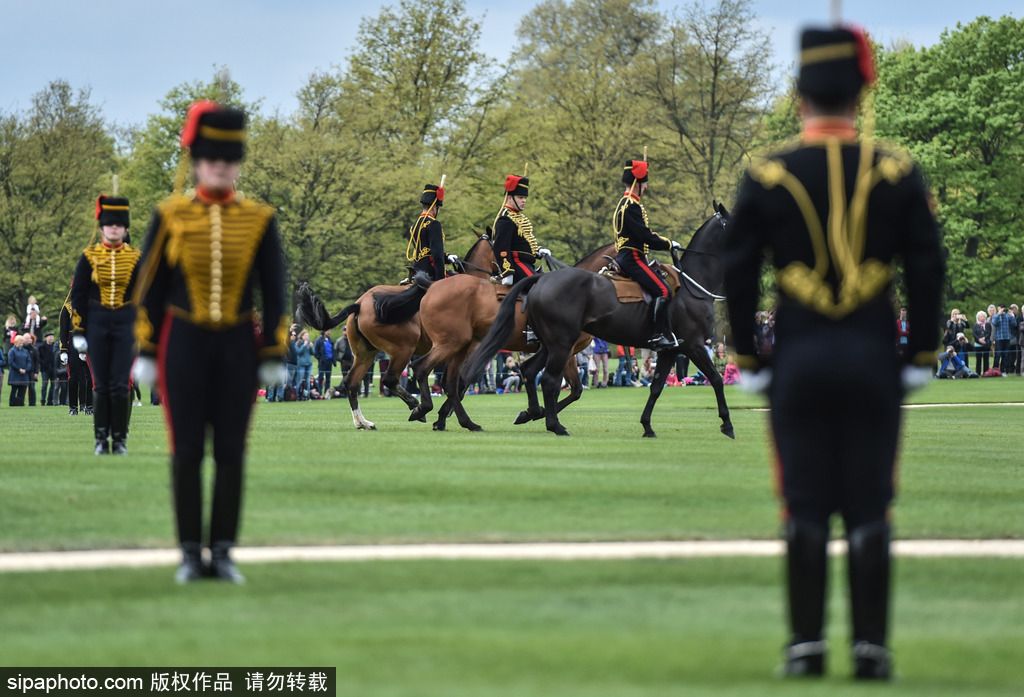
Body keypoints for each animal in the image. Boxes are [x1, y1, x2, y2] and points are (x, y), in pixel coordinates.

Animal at [294, 235, 493, 429]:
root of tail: (360, 304)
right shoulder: (464, 349)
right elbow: (459, 383)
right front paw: (445, 416)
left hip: (366, 353)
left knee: (351, 383)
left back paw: (364, 422)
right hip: (403, 349)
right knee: (390, 379)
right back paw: (416, 405)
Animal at [407, 241, 614, 431]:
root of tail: (433, 286)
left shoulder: (567, 351)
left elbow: (575, 390)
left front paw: (537, 413)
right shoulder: (563, 349)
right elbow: (556, 386)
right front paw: (537, 414)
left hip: (458, 346)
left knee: (448, 381)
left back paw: (457, 420)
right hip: (450, 344)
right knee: (423, 369)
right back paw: (425, 409)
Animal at [464, 203, 737, 438]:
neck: (693, 285)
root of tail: (541, 280)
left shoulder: (672, 349)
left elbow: (656, 386)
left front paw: (647, 426)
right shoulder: (693, 344)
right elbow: (716, 379)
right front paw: (727, 424)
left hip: (552, 345)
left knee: (527, 372)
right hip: (558, 344)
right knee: (541, 379)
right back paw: (550, 424)